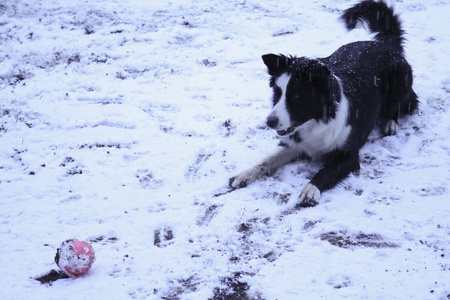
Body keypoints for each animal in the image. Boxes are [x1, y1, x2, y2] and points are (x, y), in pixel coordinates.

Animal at [229, 0, 418, 206]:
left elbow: (325, 172)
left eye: (297, 97)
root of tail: (386, 45)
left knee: (404, 104)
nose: (269, 122)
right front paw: (245, 174)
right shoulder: (294, 144)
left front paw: (310, 189)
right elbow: (266, 161)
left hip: (399, 81)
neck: (317, 123)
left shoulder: (348, 155)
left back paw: (391, 123)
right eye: (277, 93)